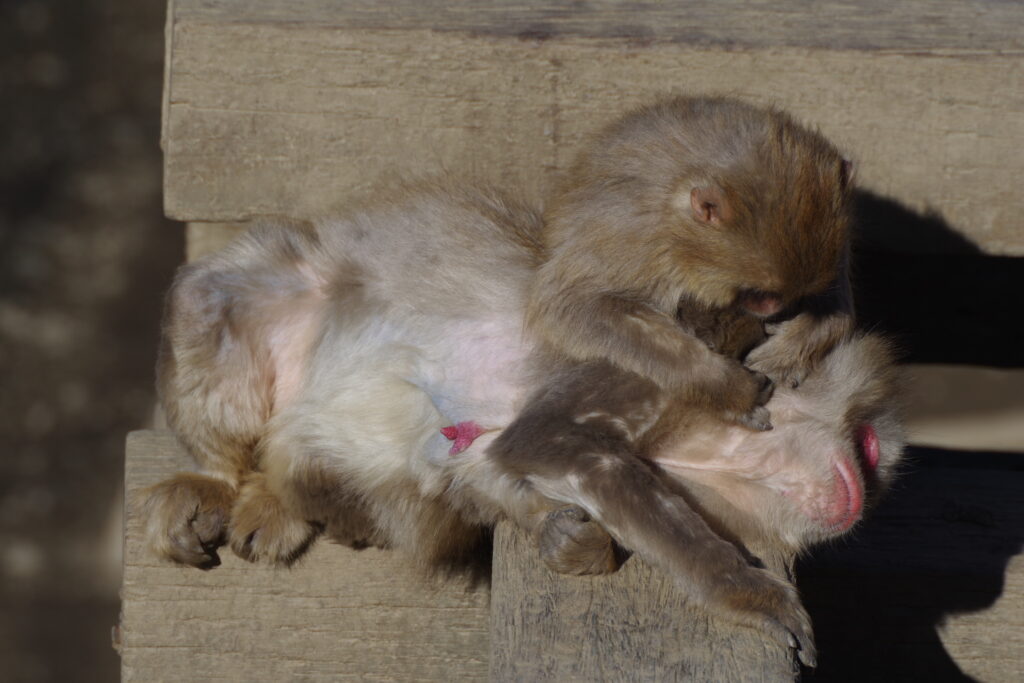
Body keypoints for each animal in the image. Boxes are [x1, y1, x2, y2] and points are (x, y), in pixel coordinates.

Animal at [528, 95, 856, 430]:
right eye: (762, 294)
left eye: (797, 296)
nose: (776, 312)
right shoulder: (634, 238)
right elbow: (573, 305)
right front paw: (726, 386)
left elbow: (839, 307)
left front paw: (790, 351)